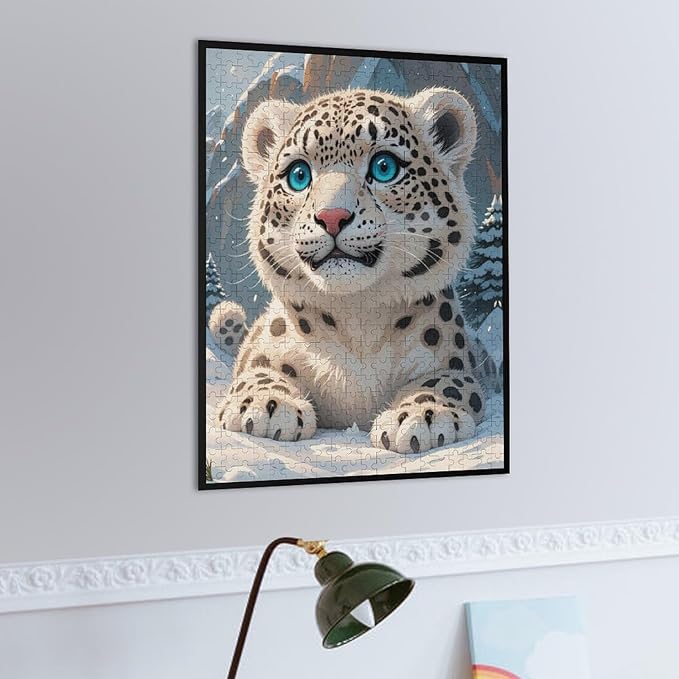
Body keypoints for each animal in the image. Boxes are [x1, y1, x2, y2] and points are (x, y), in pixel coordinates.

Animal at [213, 87, 486, 454]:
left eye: (384, 167)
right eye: (299, 174)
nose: (332, 217)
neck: (358, 320)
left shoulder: (455, 363)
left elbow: (446, 383)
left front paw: (423, 416)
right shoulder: (261, 352)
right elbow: (256, 372)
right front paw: (267, 406)